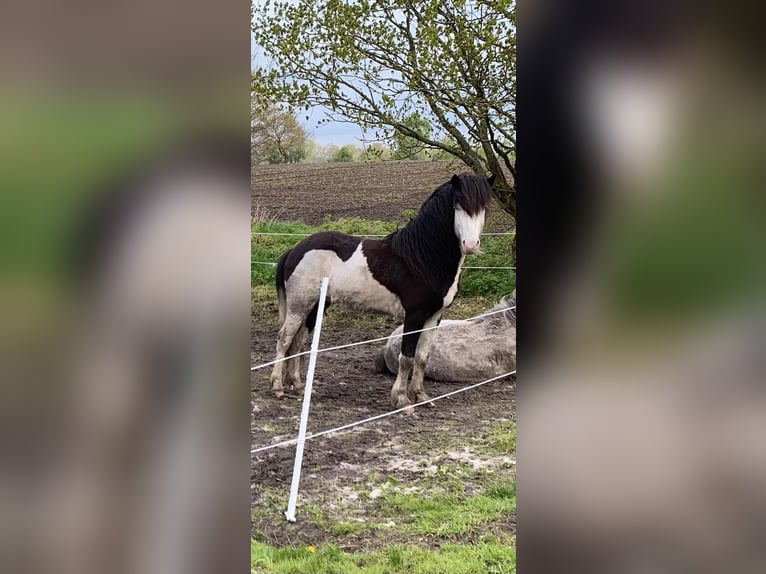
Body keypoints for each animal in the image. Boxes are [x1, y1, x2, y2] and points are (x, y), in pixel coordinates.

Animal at [272, 172, 496, 410]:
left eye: (484, 207)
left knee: (298, 341)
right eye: (457, 206)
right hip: (299, 305)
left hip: (317, 305)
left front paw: (421, 396)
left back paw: (297, 386)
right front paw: (402, 400)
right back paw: (277, 387)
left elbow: (422, 357)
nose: (470, 245)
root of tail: (295, 250)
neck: (421, 259)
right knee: (284, 339)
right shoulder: (414, 314)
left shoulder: (435, 315)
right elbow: (406, 358)